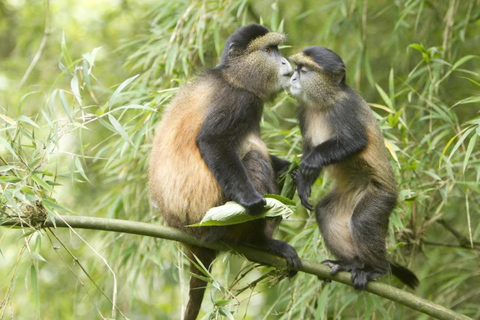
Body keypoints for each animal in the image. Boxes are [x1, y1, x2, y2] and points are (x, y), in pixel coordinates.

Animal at [149, 25, 300, 320]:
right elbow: (212, 141)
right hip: (214, 221)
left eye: (277, 50)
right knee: (254, 158)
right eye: (268, 51)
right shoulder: (239, 100)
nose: (285, 63)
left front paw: (295, 170)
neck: (234, 76)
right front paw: (252, 201)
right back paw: (259, 242)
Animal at [286, 47, 418, 290]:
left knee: (362, 220)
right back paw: (351, 264)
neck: (324, 101)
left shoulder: (346, 108)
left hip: (379, 197)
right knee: (325, 212)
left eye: (304, 70)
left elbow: (355, 141)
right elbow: (309, 148)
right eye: (297, 67)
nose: (292, 78)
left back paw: (376, 269)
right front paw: (302, 181)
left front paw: (310, 164)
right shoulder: (303, 111)